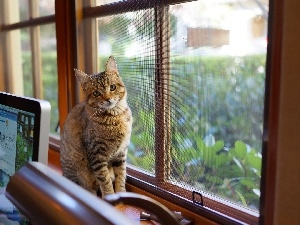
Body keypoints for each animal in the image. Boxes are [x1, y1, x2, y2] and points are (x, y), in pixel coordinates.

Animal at [59, 55, 132, 197]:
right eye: (96, 93)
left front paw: (121, 193)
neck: (114, 117)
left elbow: (121, 176)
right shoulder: (96, 155)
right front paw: (110, 196)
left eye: (112, 87)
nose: (108, 99)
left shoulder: (121, 154)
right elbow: (105, 180)